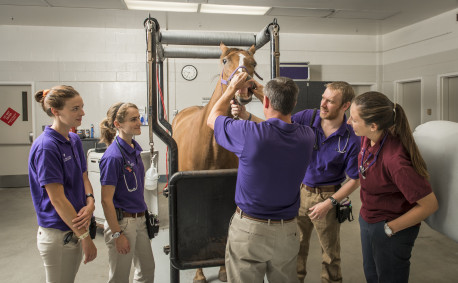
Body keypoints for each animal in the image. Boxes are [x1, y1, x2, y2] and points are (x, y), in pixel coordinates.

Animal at [171, 42, 260, 283]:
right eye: (225, 60)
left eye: (254, 63)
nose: (245, 85)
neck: (210, 144)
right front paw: (199, 274)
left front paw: (222, 270)